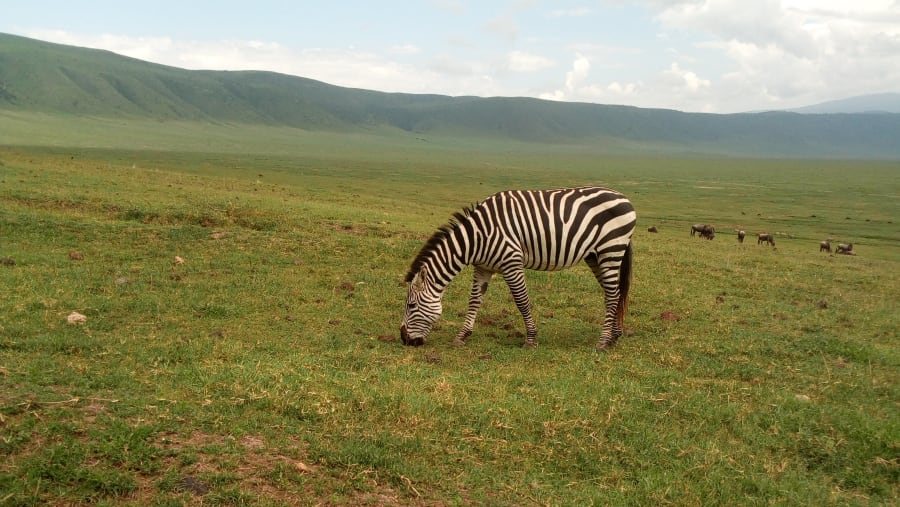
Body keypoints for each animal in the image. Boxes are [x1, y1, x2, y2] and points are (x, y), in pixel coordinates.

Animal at [400, 186, 637, 351]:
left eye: (411, 306)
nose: (404, 339)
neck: (476, 237)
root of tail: (623, 197)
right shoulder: (483, 267)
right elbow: (474, 300)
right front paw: (462, 336)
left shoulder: (511, 263)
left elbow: (522, 301)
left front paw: (531, 340)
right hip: (595, 255)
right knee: (615, 293)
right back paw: (614, 335)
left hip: (610, 249)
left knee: (612, 295)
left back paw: (603, 342)